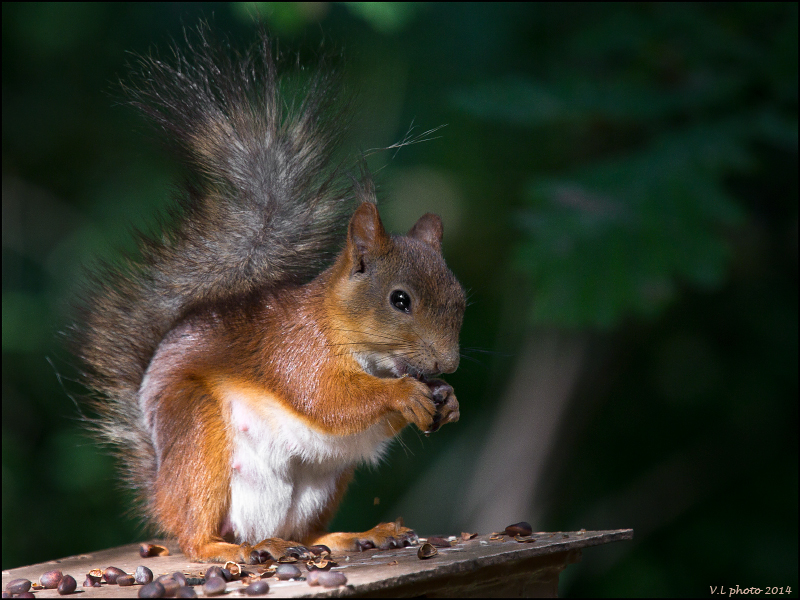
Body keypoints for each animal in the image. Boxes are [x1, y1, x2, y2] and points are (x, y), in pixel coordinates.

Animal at [72, 27, 468, 564]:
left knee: (303, 534)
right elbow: (329, 398)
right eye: (400, 300)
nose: (448, 365)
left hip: (324, 483)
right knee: (195, 534)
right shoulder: (295, 350)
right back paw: (227, 550)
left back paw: (349, 536)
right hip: (198, 438)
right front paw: (404, 393)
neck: (344, 330)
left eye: (460, 299)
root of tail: (159, 491)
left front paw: (446, 400)